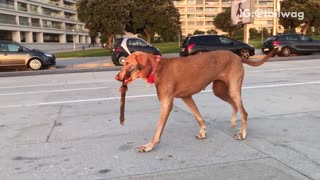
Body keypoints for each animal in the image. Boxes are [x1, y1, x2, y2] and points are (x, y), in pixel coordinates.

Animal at [115, 48, 278, 153]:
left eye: (127, 63)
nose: (117, 77)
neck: (157, 67)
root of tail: (237, 56)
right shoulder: (186, 97)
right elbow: (198, 116)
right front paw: (203, 132)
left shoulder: (166, 104)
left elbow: (158, 130)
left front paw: (149, 146)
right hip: (219, 90)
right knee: (234, 105)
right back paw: (233, 121)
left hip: (233, 89)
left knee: (244, 112)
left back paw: (242, 133)